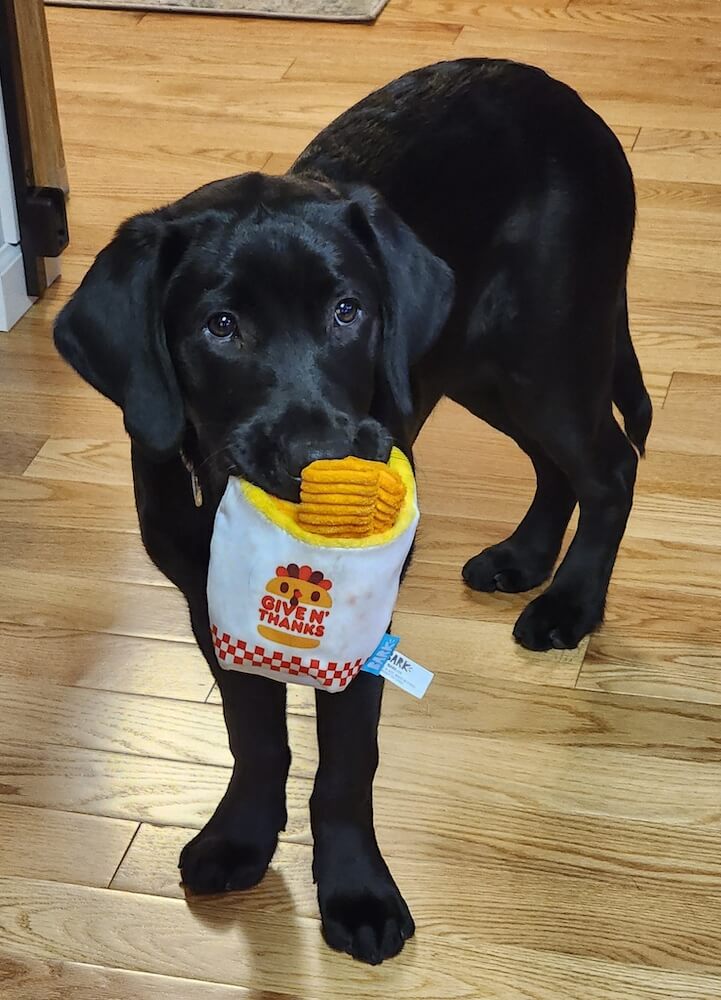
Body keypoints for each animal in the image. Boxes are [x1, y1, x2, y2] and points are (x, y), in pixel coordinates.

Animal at [53, 58, 648, 964]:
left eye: (347, 312)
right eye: (219, 327)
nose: (322, 459)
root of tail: (560, 94)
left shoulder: (364, 620)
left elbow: (344, 761)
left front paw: (357, 892)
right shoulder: (205, 602)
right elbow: (254, 735)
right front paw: (241, 837)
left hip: (543, 347)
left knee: (608, 467)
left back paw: (570, 605)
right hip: (476, 360)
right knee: (557, 465)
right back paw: (522, 559)